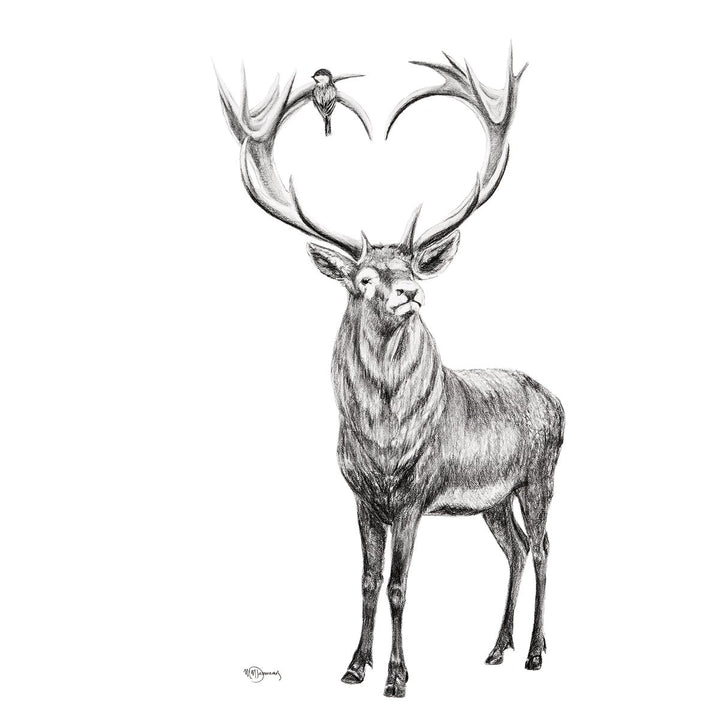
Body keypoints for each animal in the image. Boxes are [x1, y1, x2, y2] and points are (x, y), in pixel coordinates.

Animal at [216, 51, 564, 698]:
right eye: (364, 278)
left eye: (410, 268)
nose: (411, 292)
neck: (383, 439)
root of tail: (559, 402)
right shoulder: (360, 497)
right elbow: (366, 581)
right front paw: (354, 666)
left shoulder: (413, 496)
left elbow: (400, 585)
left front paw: (398, 677)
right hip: (493, 498)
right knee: (514, 548)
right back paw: (496, 648)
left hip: (540, 477)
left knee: (544, 547)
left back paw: (534, 652)